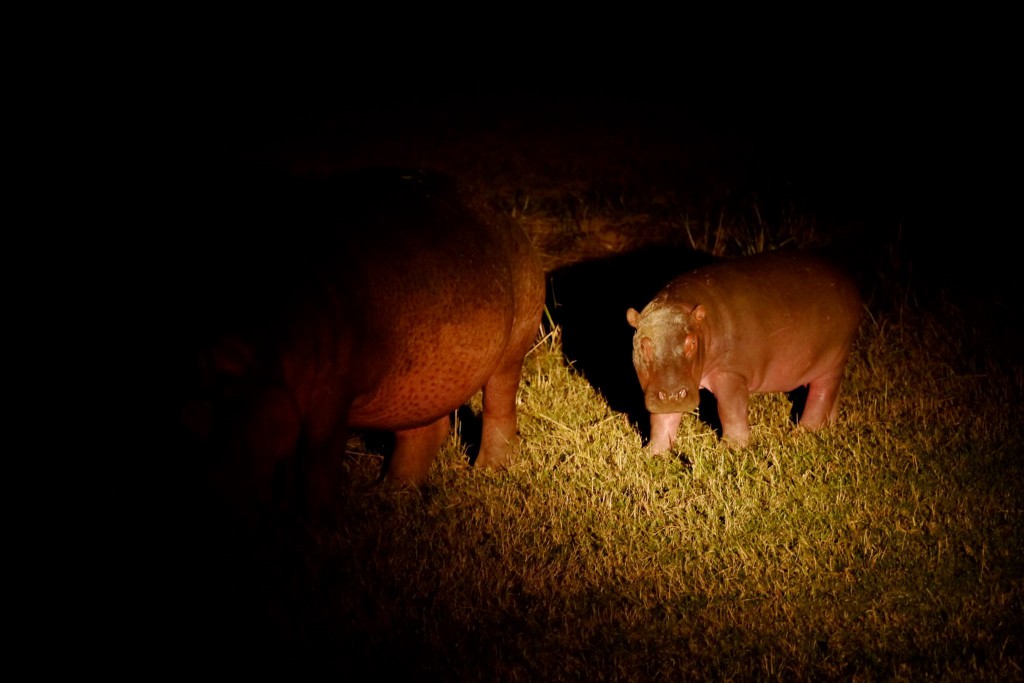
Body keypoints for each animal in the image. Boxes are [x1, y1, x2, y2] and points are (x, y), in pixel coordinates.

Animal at [178, 166, 544, 518]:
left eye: (222, 403)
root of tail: (503, 215)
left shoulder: (330, 401)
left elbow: (317, 463)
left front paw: (319, 522)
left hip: (513, 347)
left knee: (498, 405)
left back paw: (488, 470)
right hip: (422, 383)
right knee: (424, 433)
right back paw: (390, 490)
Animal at [626, 248, 860, 450]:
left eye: (691, 343)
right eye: (643, 344)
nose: (673, 395)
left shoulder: (730, 372)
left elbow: (731, 409)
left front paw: (732, 448)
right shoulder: (660, 385)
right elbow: (663, 419)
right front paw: (654, 453)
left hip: (833, 359)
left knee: (821, 394)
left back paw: (804, 432)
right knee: (832, 394)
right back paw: (830, 425)